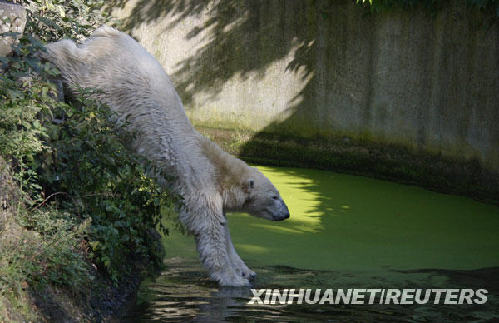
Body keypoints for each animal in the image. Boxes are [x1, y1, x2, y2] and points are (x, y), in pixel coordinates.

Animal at [45, 27, 292, 286]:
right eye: (275, 196)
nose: (286, 214)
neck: (216, 166)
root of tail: (110, 34)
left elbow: (224, 228)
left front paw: (245, 270)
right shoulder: (199, 184)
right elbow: (209, 229)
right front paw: (232, 278)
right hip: (111, 79)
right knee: (78, 71)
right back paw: (50, 51)